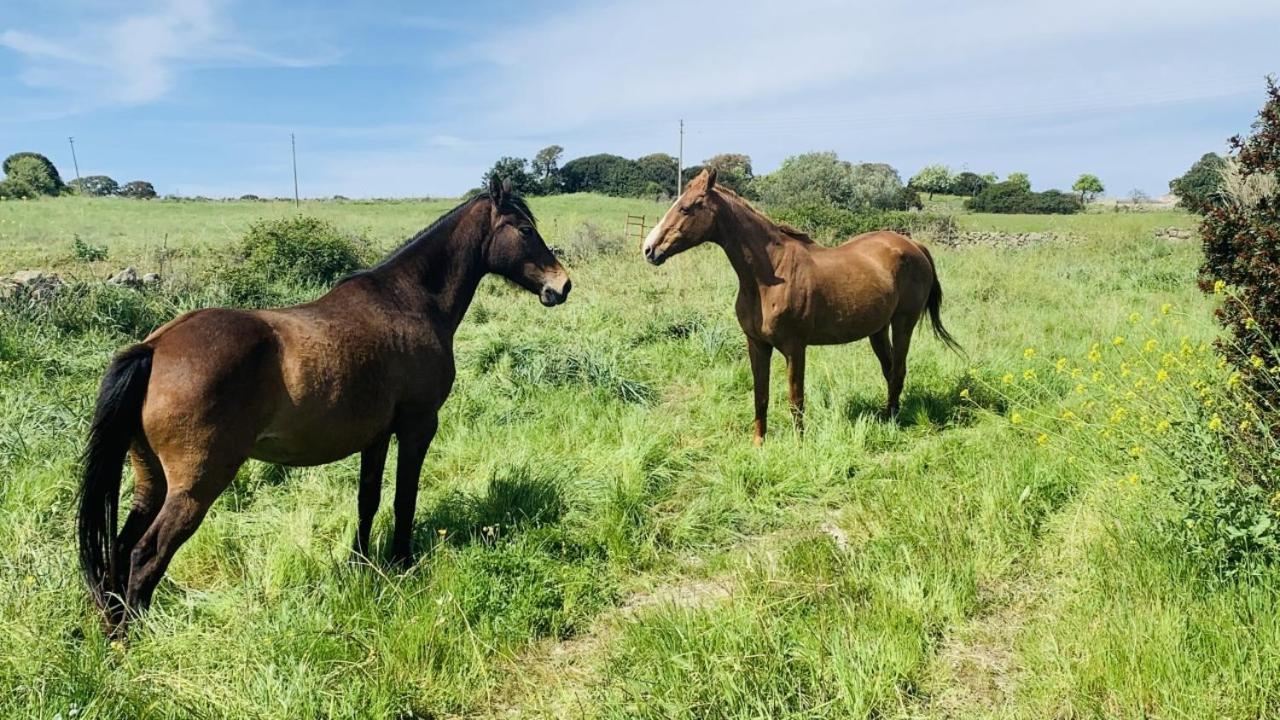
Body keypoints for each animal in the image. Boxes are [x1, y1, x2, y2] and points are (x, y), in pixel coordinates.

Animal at [78, 178, 570, 627]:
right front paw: (402, 563)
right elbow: (404, 498)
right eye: (525, 229)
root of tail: (155, 347)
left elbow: (368, 499)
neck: (409, 300)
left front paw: (361, 563)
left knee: (120, 547)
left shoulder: (376, 435)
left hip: (151, 479)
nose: (562, 285)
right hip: (196, 485)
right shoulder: (417, 427)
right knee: (146, 554)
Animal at [640, 167, 962, 440]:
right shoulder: (757, 344)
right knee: (890, 369)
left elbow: (796, 397)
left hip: (903, 324)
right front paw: (759, 443)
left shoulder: (795, 347)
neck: (769, 276)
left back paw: (893, 422)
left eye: (686, 207)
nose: (649, 249)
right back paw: (887, 418)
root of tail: (913, 246)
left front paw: (799, 444)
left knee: (898, 370)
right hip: (878, 330)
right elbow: (761, 394)